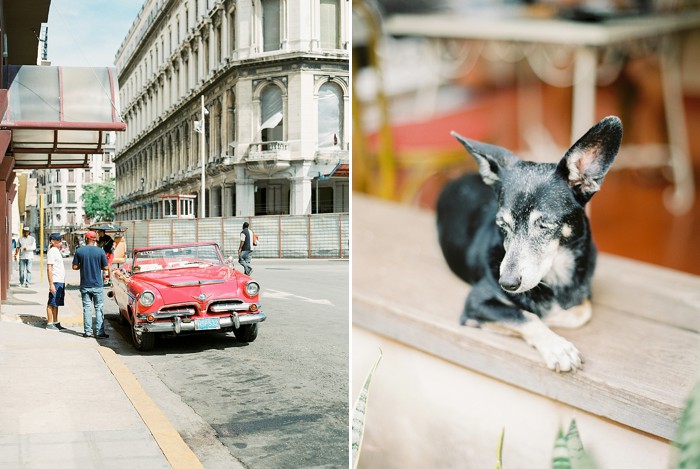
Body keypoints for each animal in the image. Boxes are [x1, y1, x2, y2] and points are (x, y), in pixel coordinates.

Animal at [438, 116, 624, 370]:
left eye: (544, 225)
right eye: (502, 225)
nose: (506, 283)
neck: (555, 274)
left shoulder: (583, 299)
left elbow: (580, 311)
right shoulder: (477, 301)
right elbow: (526, 316)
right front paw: (558, 347)